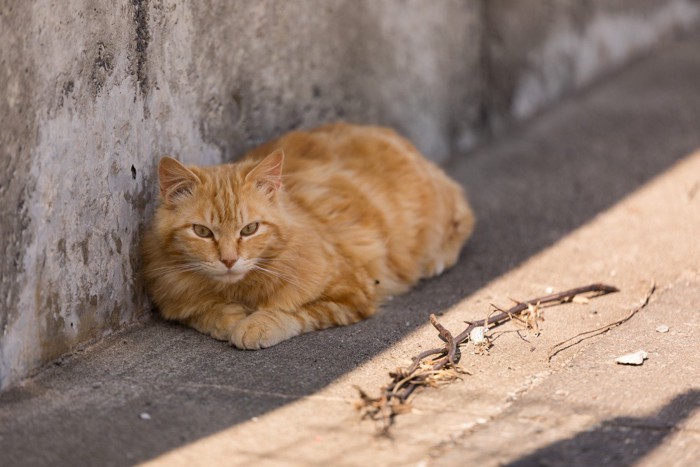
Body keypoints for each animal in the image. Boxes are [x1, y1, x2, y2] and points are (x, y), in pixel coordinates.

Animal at [145, 122, 478, 350]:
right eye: (202, 232)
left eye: (249, 229)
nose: (229, 260)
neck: (239, 289)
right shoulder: (174, 297)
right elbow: (204, 314)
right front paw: (228, 318)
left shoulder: (351, 293)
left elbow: (291, 312)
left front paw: (254, 325)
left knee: (463, 219)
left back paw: (435, 260)